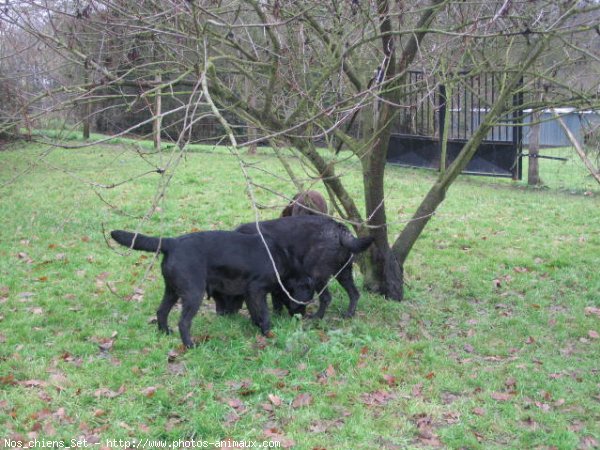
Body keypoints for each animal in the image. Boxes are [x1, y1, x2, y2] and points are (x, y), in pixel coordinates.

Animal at [110, 230, 314, 346]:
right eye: (305, 299)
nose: (302, 316)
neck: (282, 259)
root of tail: (172, 242)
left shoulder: (250, 294)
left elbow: (256, 314)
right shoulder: (256, 290)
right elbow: (264, 315)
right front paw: (269, 334)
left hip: (172, 290)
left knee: (161, 312)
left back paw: (165, 333)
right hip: (193, 293)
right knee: (183, 322)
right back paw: (190, 345)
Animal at [216, 215, 376, 318]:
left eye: (224, 296)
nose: (220, 314)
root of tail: (339, 228)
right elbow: (277, 300)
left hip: (317, 275)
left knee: (326, 298)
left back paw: (316, 317)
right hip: (344, 273)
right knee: (354, 294)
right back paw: (349, 314)